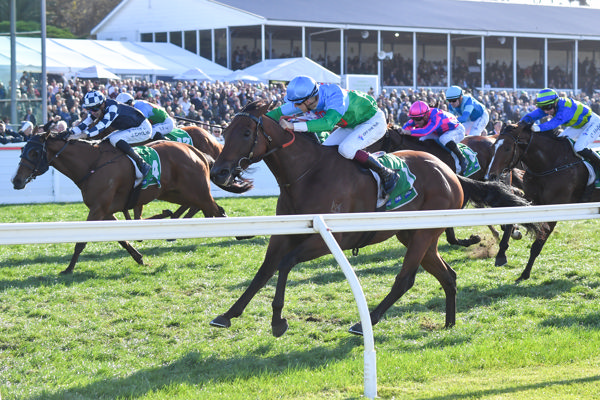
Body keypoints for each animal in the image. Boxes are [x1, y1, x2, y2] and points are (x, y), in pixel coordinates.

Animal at [12, 128, 232, 276]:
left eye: (34, 152)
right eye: (23, 150)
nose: (16, 181)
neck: (92, 164)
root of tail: (196, 151)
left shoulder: (98, 210)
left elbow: (81, 241)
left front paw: (68, 268)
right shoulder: (105, 210)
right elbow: (122, 238)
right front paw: (139, 258)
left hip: (197, 192)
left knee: (217, 211)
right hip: (174, 193)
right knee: (205, 210)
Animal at [209, 98, 536, 336]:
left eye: (247, 133)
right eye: (223, 132)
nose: (218, 173)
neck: (308, 173)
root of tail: (449, 172)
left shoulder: (329, 238)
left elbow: (286, 263)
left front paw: (278, 320)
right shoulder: (283, 232)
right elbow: (265, 269)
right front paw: (228, 314)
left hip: (422, 234)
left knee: (405, 279)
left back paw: (366, 321)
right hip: (415, 235)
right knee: (448, 275)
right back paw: (449, 324)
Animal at [488, 122, 592, 282]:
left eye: (507, 148)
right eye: (493, 146)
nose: (491, 175)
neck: (551, 164)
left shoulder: (555, 208)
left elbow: (537, 244)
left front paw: (525, 274)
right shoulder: (532, 200)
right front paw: (501, 254)